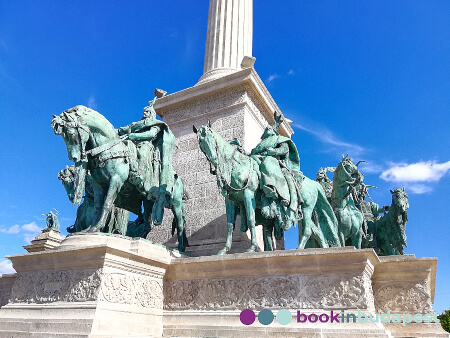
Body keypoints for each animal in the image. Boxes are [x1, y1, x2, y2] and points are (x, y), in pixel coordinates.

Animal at [51, 105, 187, 251]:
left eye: (71, 134)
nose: (74, 158)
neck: (108, 147)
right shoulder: (98, 185)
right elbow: (98, 207)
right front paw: (90, 229)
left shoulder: (116, 180)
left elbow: (107, 204)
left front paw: (96, 228)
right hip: (148, 200)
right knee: (147, 223)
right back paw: (139, 239)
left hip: (176, 203)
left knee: (180, 224)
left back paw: (180, 249)